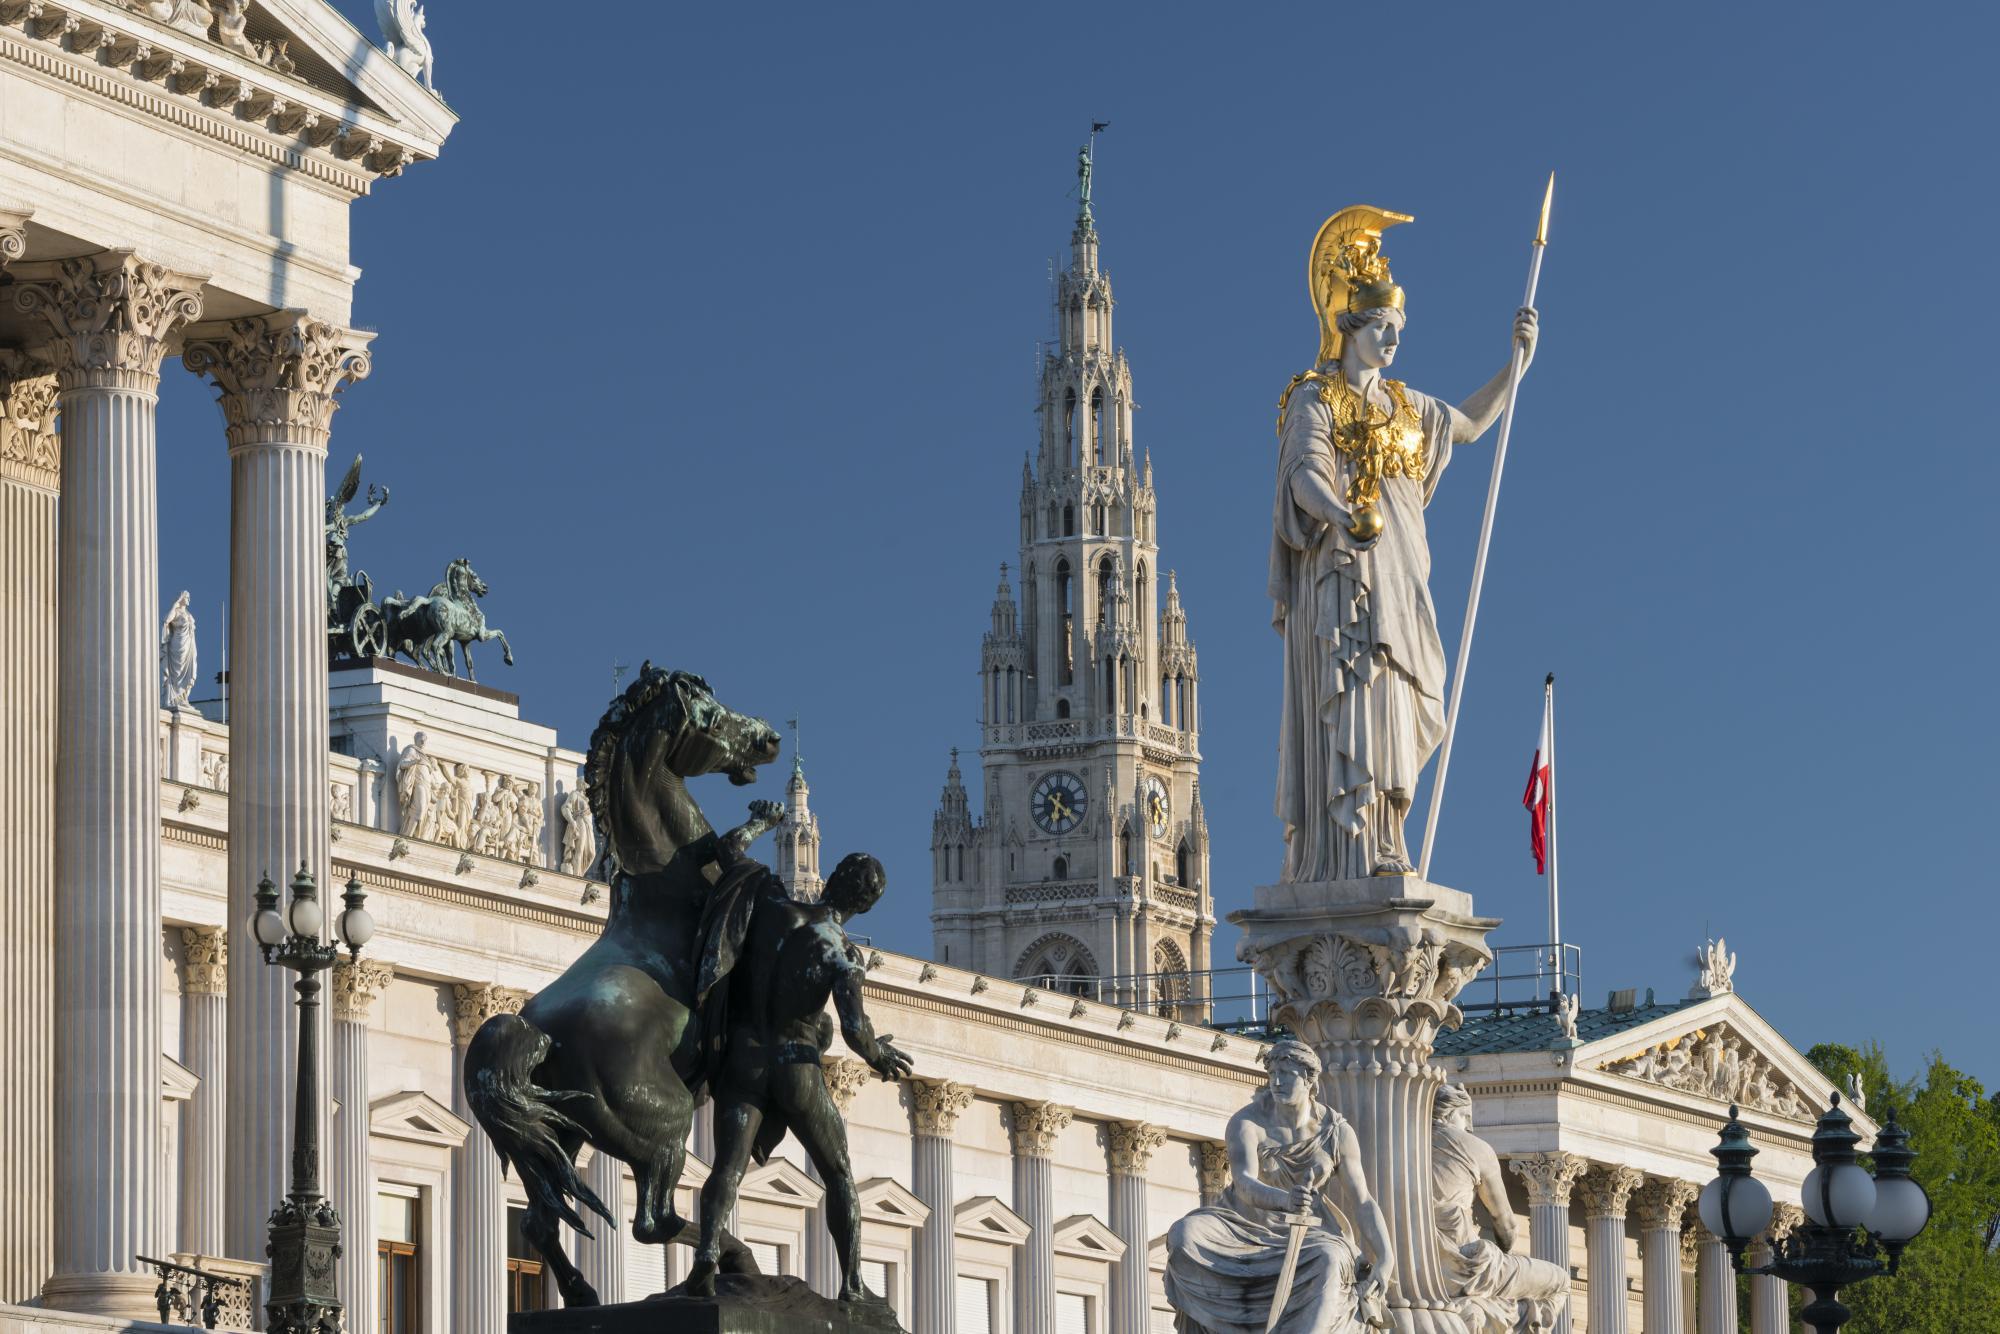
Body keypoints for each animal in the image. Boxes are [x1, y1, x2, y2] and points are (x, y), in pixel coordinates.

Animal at [466, 668, 780, 1304]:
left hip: (565, 1134)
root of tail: (532, 1029)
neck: (667, 881)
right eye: (711, 713)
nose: (769, 738)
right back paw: (731, 1265)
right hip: (663, 1122)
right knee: (653, 1221)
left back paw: (583, 1293)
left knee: (540, 1221)